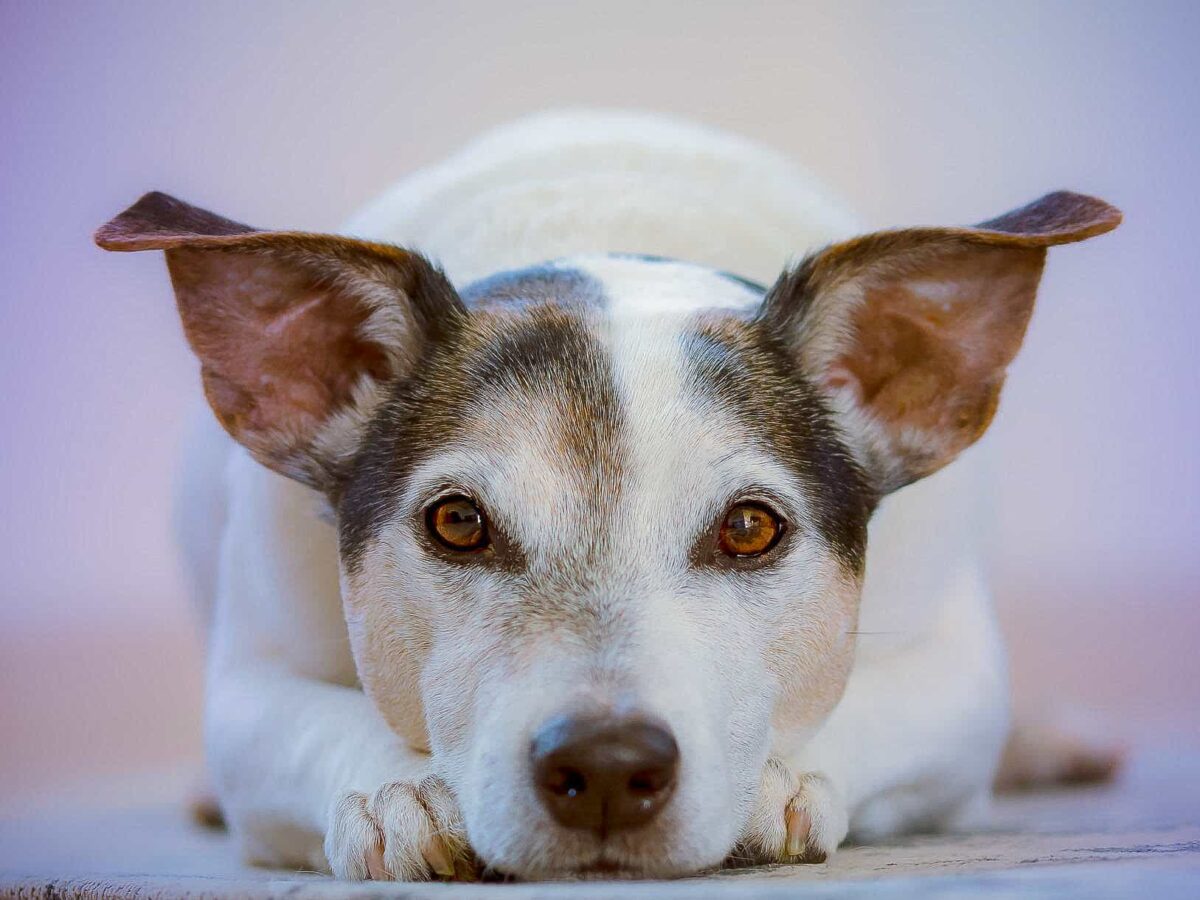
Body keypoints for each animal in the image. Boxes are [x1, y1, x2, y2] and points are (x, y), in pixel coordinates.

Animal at [96, 111, 1123, 883]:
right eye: (456, 522)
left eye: (750, 528)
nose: (604, 765)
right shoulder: (249, 683)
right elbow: (306, 723)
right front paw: (403, 790)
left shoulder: (956, 670)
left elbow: (874, 706)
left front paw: (775, 780)